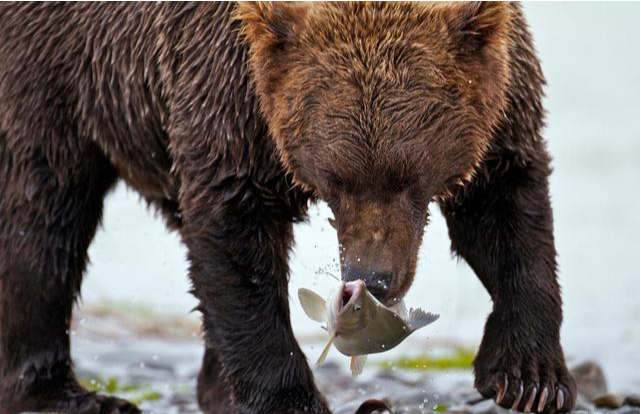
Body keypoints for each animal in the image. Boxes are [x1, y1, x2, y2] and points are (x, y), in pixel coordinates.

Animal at [0, 2, 576, 414]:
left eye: (410, 179)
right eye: (338, 180)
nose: (373, 277)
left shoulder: (500, 102)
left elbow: (507, 215)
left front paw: (530, 378)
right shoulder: (231, 97)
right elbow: (235, 242)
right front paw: (288, 397)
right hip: (58, 69)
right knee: (43, 220)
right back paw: (68, 394)